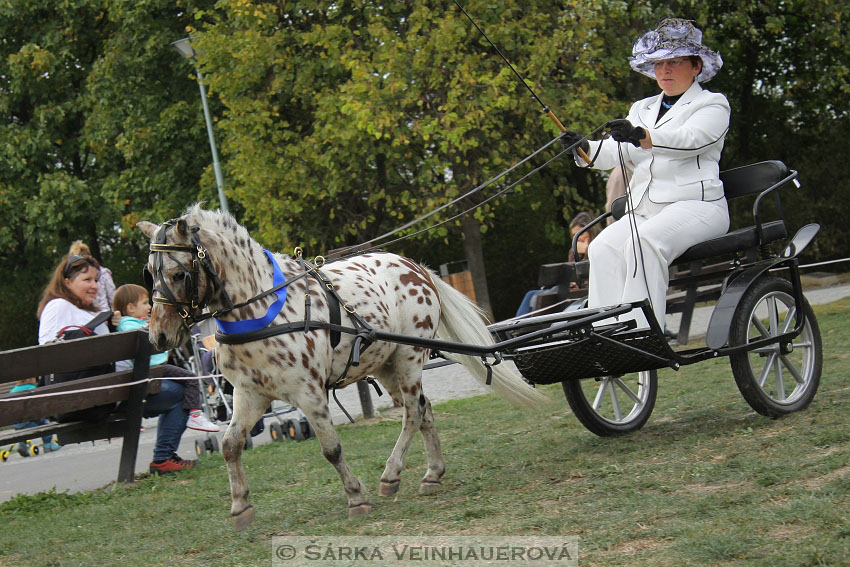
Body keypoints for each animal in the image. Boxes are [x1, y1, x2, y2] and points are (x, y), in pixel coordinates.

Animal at [137, 206, 544, 532]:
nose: (158, 335)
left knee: (413, 413)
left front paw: (356, 497)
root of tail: (416, 268)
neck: (261, 306)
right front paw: (240, 507)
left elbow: (331, 449)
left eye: (178, 274)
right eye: (149, 273)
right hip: (386, 365)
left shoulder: (309, 392)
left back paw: (391, 475)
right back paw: (432, 474)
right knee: (423, 410)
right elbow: (230, 444)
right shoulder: (249, 393)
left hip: (410, 356)